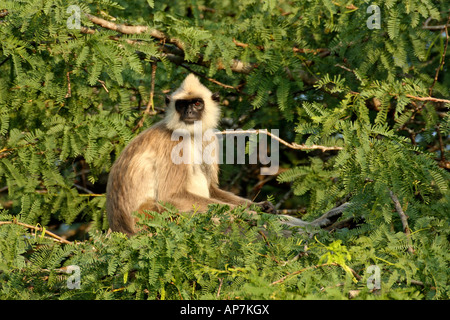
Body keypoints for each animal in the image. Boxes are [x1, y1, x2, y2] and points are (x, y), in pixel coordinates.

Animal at [106, 74, 348, 235]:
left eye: (197, 103)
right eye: (182, 104)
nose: (189, 112)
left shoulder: (208, 139)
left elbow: (213, 189)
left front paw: (261, 208)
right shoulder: (173, 143)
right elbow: (171, 197)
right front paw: (255, 215)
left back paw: (318, 223)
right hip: (152, 219)